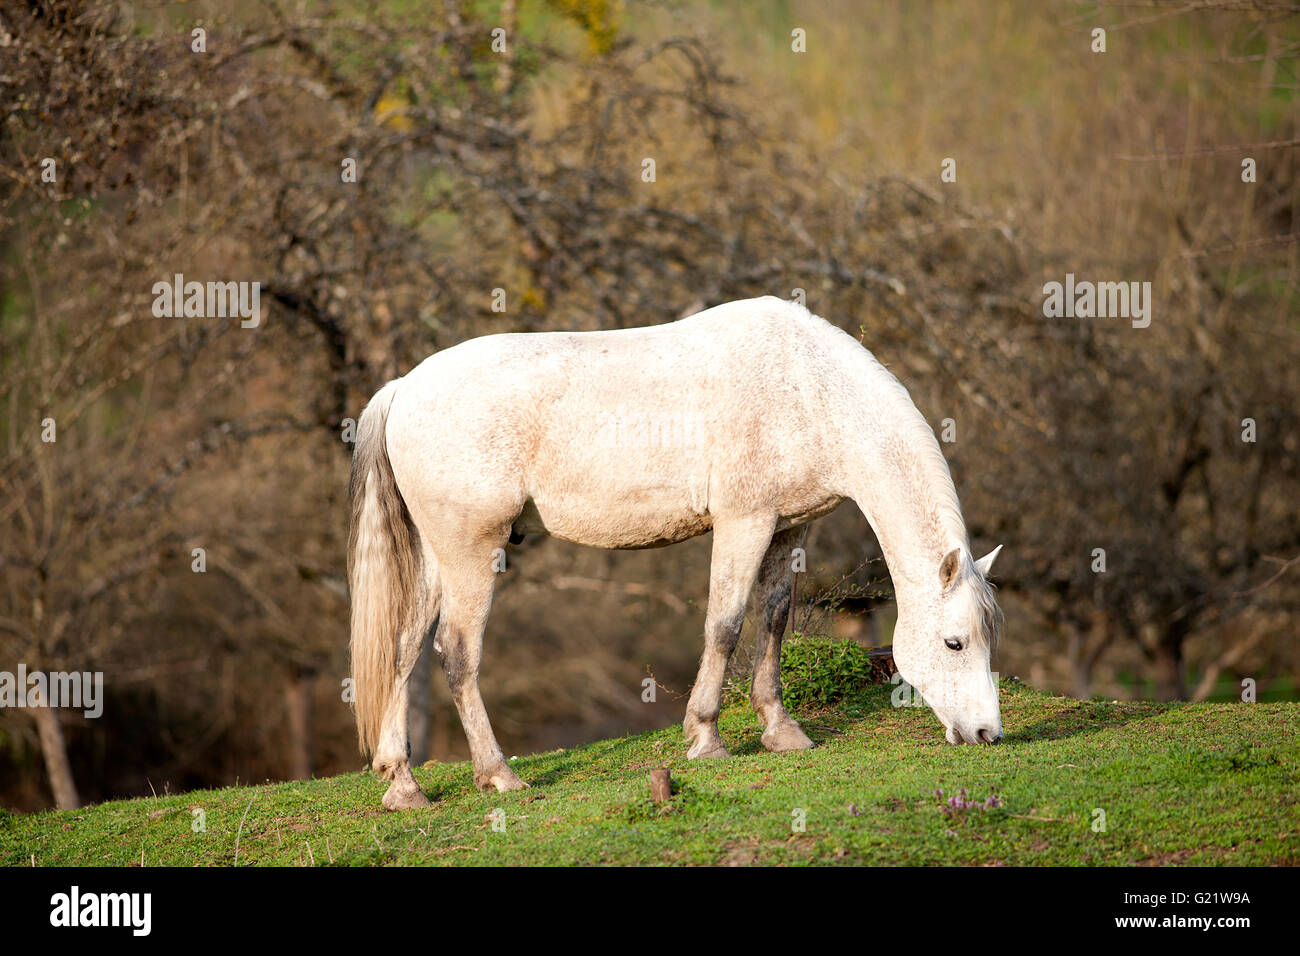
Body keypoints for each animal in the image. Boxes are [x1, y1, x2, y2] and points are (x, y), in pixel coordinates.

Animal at [348, 297, 1003, 806]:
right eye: (954, 642)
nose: (988, 735)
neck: (806, 388)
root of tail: (404, 389)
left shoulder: (788, 531)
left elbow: (773, 620)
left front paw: (781, 731)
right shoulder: (743, 523)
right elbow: (725, 625)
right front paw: (706, 739)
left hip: (437, 559)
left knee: (404, 650)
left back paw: (403, 785)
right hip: (472, 553)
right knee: (456, 653)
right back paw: (499, 775)